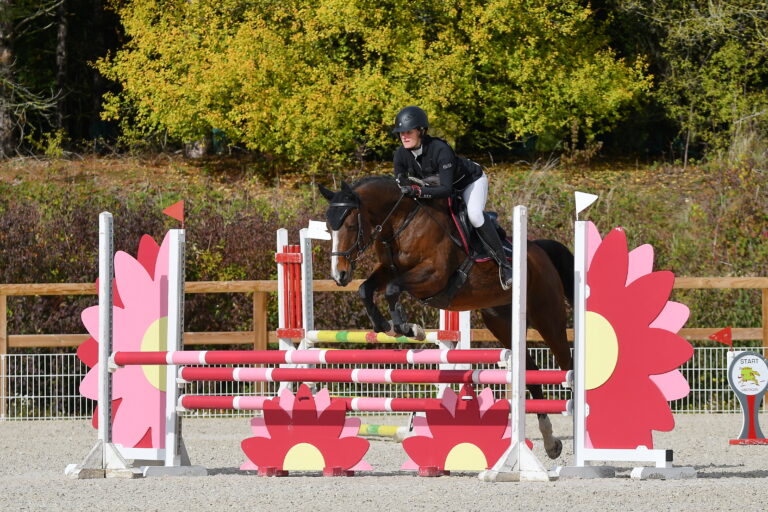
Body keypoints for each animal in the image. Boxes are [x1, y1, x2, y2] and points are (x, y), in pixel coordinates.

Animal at [316, 176, 572, 460]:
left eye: (350, 225)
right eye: (328, 228)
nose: (339, 275)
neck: (401, 222)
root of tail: (539, 249)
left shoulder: (433, 276)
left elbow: (393, 289)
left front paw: (407, 327)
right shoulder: (388, 270)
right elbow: (365, 289)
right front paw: (389, 327)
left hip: (548, 317)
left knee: (567, 364)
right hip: (502, 323)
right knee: (532, 371)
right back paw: (551, 443)